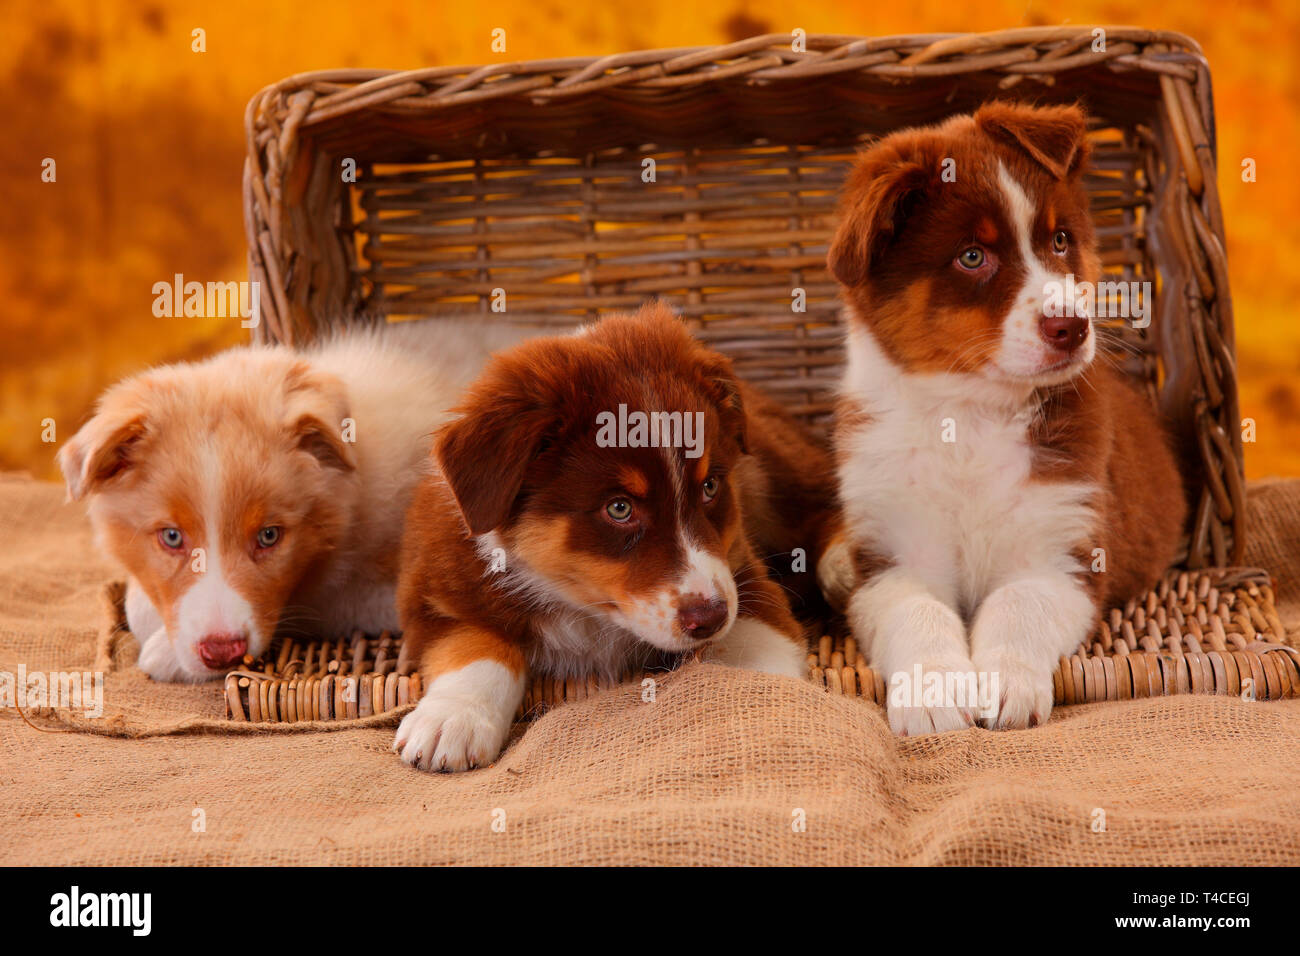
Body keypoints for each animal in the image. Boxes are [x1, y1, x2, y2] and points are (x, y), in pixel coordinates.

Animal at [59, 321, 538, 681]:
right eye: (171, 537)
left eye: (269, 536)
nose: (222, 652)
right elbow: (136, 599)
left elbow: (320, 603)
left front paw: (163, 654)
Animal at [390, 303, 832, 775]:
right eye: (619, 508)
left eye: (710, 486)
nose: (710, 619)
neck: (583, 607)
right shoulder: (433, 592)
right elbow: (477, 643)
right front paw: (453, 720)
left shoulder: (743, 570)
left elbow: (756, 644)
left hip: (772, 474)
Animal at [832, 102, 1190, 733]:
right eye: (972, 256)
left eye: (1061, 240)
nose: (1072, 327)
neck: (971, 414)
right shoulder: (893, 558)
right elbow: (917, 611)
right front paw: (932, 693)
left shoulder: (1063, 553)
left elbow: (1017, 603)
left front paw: (1004, 685)